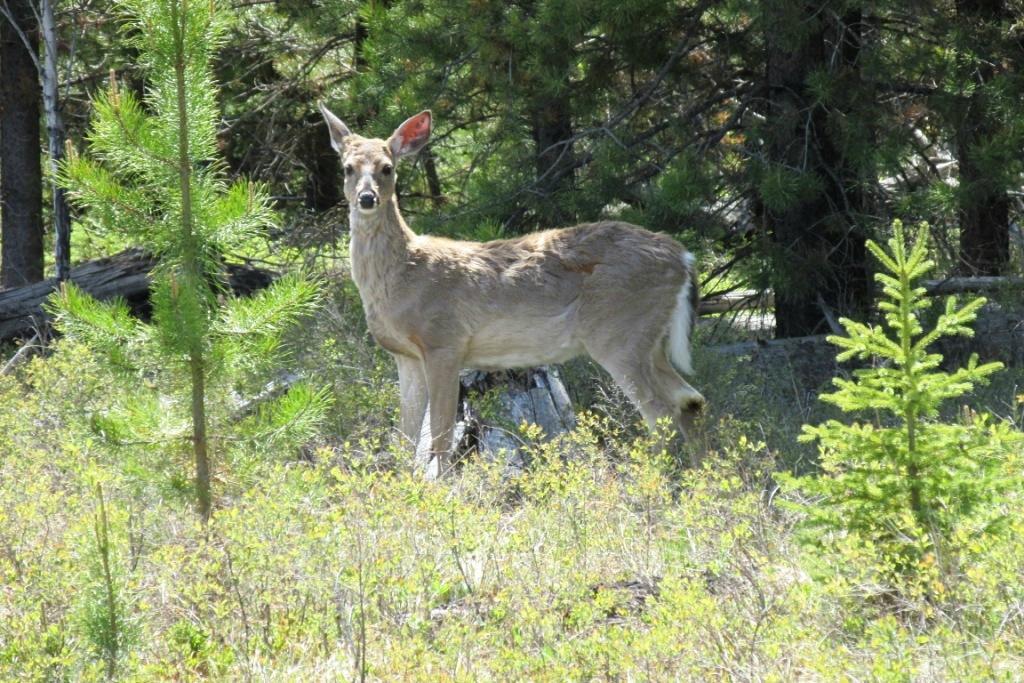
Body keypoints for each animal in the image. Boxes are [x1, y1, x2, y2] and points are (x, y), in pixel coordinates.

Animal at [319, 102, 704, 475]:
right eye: (347, 168)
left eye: (387, 168)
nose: (366, 198)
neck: (400, 276)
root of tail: (683, 256)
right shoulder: (405, 355)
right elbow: (403, 436)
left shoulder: (444, 341)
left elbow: (440, 435)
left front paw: (440, 486)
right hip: (650, 340)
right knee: (690, 400)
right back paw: (702, 476)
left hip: (619, 332)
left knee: (662, 412)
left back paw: (655, 479)